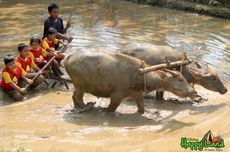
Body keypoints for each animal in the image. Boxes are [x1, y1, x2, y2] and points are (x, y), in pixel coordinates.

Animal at [63, 50, 197, 113]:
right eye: (180, 79)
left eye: (184, 78)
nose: (194, 92)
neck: (141, 74)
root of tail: (69, 57)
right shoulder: (116, 96)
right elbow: (110, 110)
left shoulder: (138, 95)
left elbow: (142, 109)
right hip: (80, 85)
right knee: (77, 96)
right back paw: (85, 106)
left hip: (77, 85)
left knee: (73, 96)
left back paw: (77, 107)